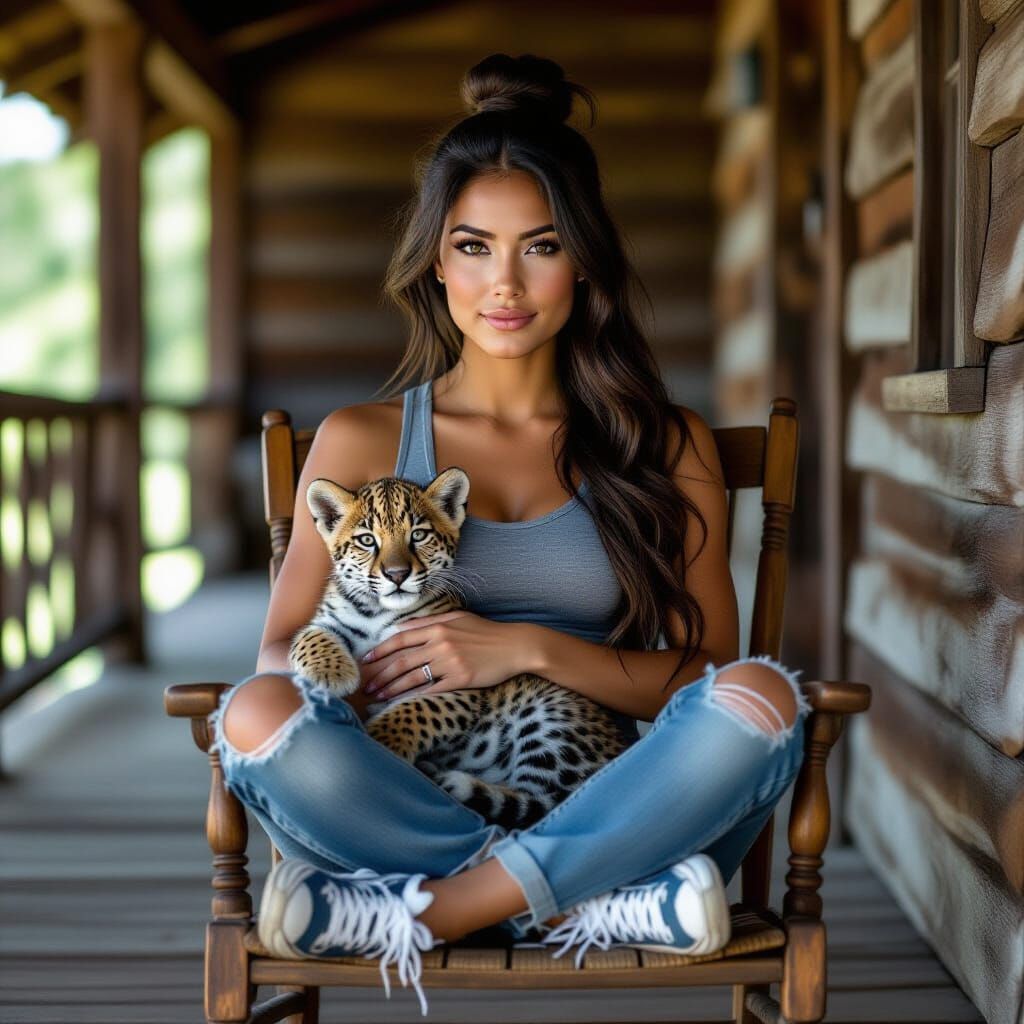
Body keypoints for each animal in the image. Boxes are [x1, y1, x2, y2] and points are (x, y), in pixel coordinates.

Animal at [289, 467, 627, 830]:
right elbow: (308, 638)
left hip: (550, 721)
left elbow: (412, 712)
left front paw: (379, 742)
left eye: (419, 535)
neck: (378, 612)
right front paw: (331, 673)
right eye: (367, 540)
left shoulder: (458, 684)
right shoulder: (327, 620)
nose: (397, 574)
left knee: (542, 805)